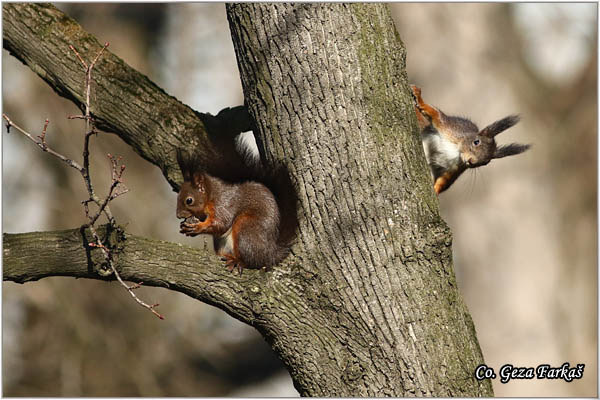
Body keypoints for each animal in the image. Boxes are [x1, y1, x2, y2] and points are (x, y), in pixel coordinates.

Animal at [177, 141, 298, 276]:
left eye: (189, 200)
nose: (178, 215)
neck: (211, 195)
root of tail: (270, 254)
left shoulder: (224, 204)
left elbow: (221, 224)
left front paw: (197, 227)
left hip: (246, 230)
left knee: (254, 262)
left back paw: (238, 261)